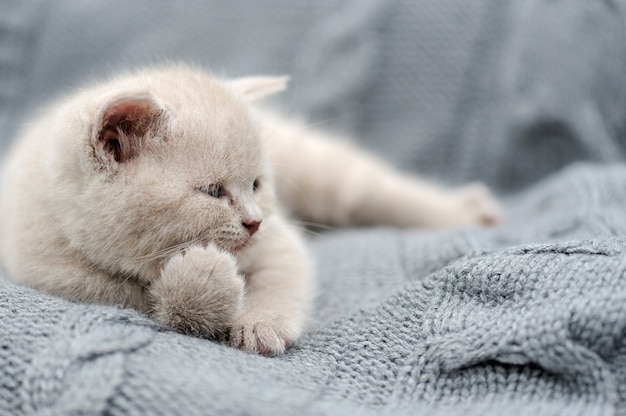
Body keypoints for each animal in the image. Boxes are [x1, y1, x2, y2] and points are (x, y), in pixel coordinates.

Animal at [0, 65, 498, 354]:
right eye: (212, 191)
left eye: (256, 183)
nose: (254, 221)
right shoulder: (63, 279)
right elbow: (149, 301)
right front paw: (205, 281)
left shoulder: (280, 241)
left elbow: (280, 277)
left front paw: (261, 325)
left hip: (321, 170)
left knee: (372, 189)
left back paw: (469, 212)